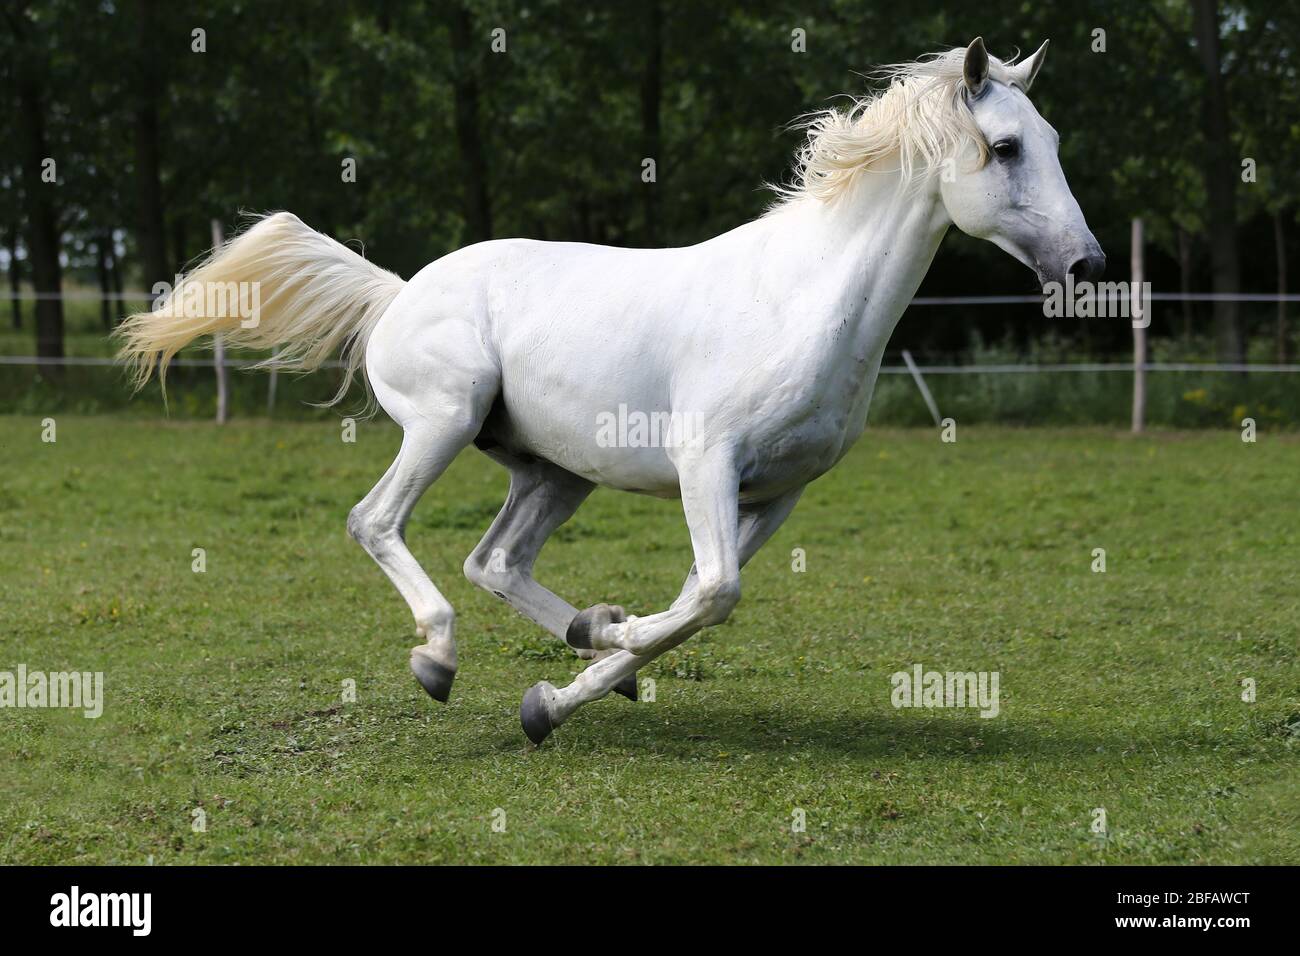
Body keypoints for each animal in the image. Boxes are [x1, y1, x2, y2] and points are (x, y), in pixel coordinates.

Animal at [119, 41, 1097, 749]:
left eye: (1053, 144)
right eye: (1005, 148)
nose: (1085, 266)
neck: (800, 298)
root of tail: (397, 292)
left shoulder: (775, 494)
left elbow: (696, 602)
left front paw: (559, 695)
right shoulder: (707, 462)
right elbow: (712, 596)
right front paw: (607, 646)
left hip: (556, 471)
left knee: (496, 561)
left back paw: (579, 635)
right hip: (444, 420)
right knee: (378, 523)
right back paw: (441, 657)